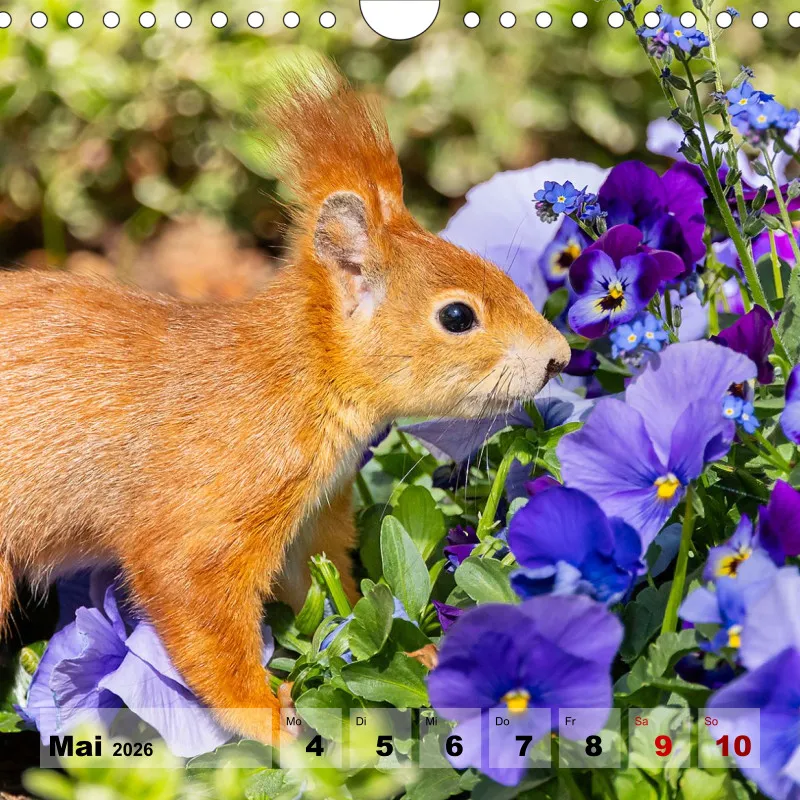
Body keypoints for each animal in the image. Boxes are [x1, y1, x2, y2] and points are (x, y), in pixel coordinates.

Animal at [0, 64, 570, 744]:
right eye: (457, 316)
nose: (560, 357)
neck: (303, 378)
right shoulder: (208, 517)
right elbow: (199, 613)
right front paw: (270, 716)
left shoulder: (314, 518)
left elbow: (341, 598)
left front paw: (414, 651)